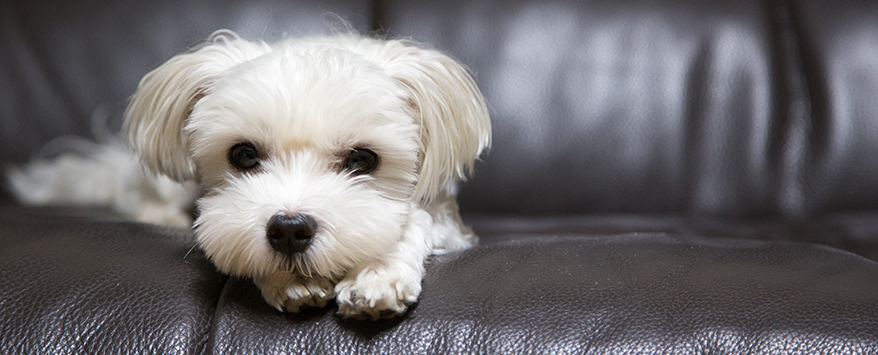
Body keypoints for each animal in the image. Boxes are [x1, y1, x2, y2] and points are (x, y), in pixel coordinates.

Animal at [6, 31, 492, 320]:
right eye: (242, 155)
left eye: (362, 160)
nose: (290, 229)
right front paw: (290, 281)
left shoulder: (447, 217)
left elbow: (414, 220)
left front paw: (379, 272)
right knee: (136, 193)